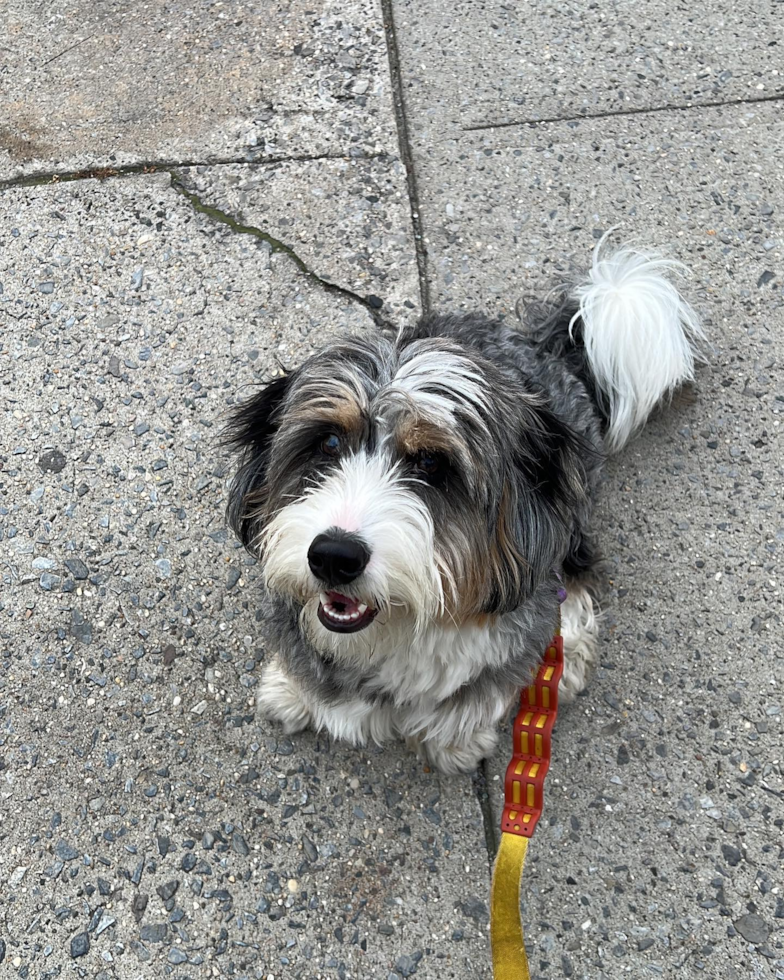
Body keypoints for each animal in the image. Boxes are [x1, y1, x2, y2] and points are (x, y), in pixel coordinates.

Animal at [222, 239, 704, 772]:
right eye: (328, 442)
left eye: (433, 463)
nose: (333, 556)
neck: (395, 626)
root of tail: (546, 347)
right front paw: (294, 692)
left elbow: (479, 692)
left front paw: (455, 742)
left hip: (572, 512)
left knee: (579, 571)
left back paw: (570, 650)